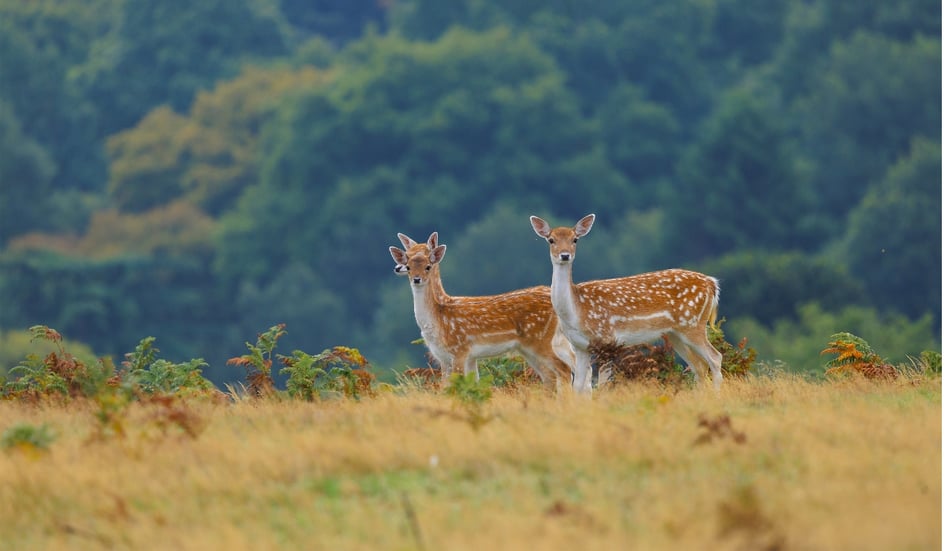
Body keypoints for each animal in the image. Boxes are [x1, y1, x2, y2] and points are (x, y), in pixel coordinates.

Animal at [390, 232, 575, 391]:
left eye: (428, 266)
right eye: (408, 262)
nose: (415, 278)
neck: (438, 318)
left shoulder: (460, 350)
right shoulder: (446, 357)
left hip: (542, 340)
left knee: (564, 369)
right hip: (531, 347)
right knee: (553, 375)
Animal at [529, 214, 723, 393]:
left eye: (575, 239)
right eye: (551, 240)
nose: (564, 255)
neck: (576, 311)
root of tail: (711, 284)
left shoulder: (607, 341)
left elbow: (603, 385)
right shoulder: (580, 346)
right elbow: (578, 386)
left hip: (693, 324)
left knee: (715, 358)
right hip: (675, 333)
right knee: (699, 365)